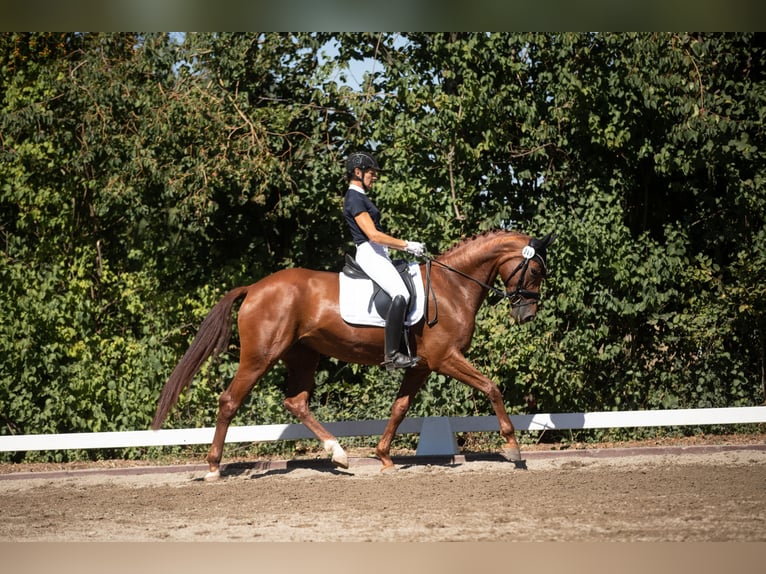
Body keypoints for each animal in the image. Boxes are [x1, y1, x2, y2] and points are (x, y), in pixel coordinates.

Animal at [152, 231, 560, 482]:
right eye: (536, 270)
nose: (527, 314)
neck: (452, 286)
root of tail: (255, 287)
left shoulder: (423, 365)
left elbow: (400, 407)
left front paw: (384, 457)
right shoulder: (446, 357)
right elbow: (491, 387)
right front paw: (513, 448)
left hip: (303, 355)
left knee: (296, 401)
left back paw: (339, 454)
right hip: (260, 356)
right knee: (229, 400)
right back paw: (213, 467)